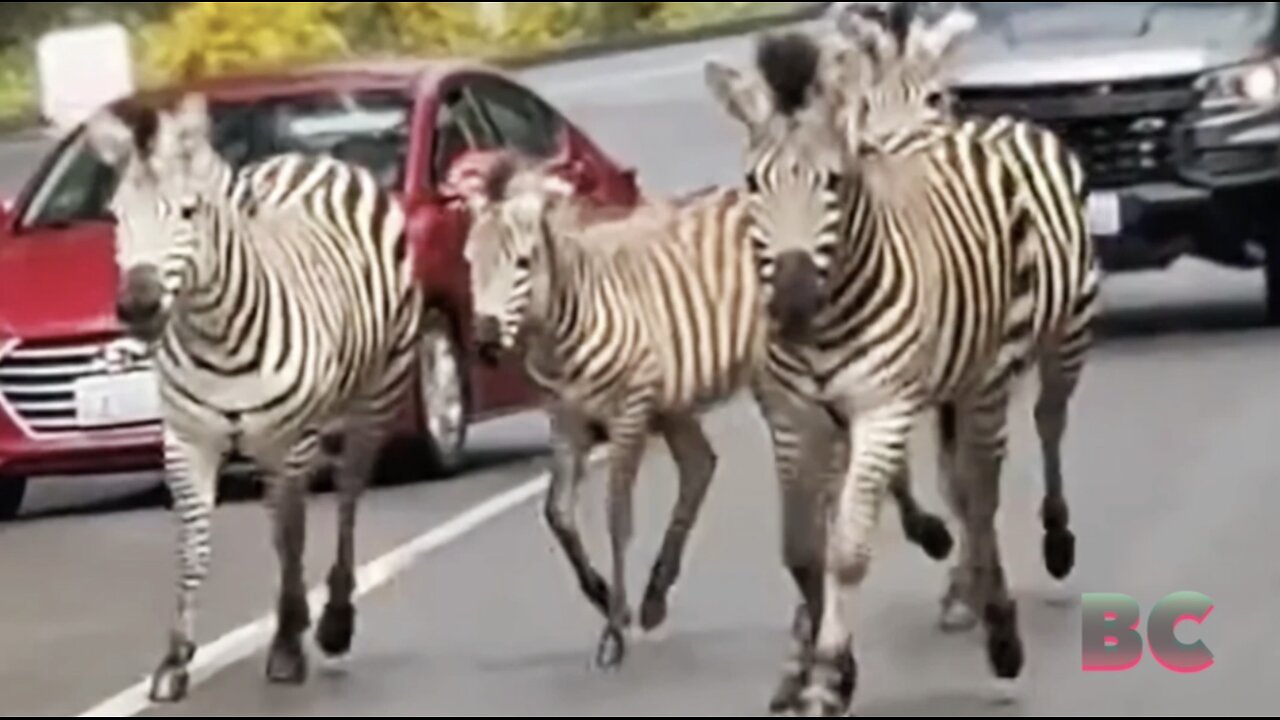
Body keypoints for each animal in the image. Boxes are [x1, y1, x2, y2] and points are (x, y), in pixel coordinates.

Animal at [86, 94, 424, 702]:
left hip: (373, 399)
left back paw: (334, 620)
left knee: (346, 497)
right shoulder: (187, 440)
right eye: (116, 216)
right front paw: (175, 659)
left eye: (189, 212)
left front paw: (288, 646)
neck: (217, 334)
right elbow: (195, 545)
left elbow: (292, 536)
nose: (138, 306)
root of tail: (313, 157)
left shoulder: (291, 439)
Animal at [450, 152, 952, 671]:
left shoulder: (630, 410)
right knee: (705, 465)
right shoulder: (567, 420)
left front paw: (613, 629)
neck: (568, 320)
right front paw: (606, 597)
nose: (485, 340)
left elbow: (617, 515)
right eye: (469, 262)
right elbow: (559, 514)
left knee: (822, 470)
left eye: (523, 263)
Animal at [706, 28, 1044, 712]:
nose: (792, 303)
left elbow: (847, 552)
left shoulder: (883, 410)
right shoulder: (794, 420)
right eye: (753, 183)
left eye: (833, 183)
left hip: (985, 382)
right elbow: (802, 551)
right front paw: (826, 665)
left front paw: (828, 674)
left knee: (979, 498)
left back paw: (999, 631)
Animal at [829, 0, 1100, 627]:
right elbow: (924, 477)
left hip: (1069, 331)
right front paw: (942, 552)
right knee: (965, 469)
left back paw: (1057, 539)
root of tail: (1009, 122)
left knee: (1049, 421)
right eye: (863, 105)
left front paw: (974, 580)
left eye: (935, 99)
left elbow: (976, 482)